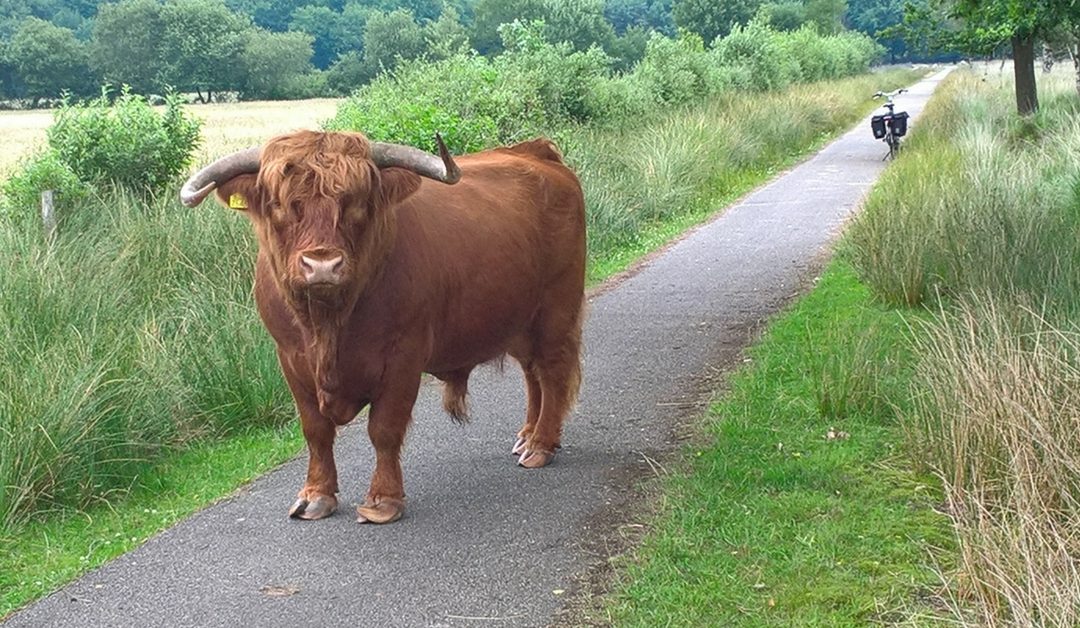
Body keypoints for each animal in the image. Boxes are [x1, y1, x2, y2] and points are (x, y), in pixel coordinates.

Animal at [179, 129, 583, 520]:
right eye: (280, 204)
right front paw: (316, 495)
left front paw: (383, 500)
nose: (322, 265)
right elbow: (315, 430)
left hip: (556, 310)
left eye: (357, 202)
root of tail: (535, 152)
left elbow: (384, 429)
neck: (329, 324)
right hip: (521, 321)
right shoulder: (291, 358)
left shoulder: (403, 357)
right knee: (533, 374)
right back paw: (527, 436)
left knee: (552, 372)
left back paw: (541, 445)